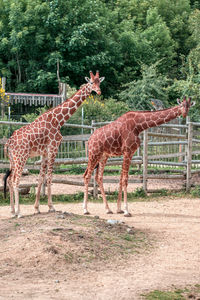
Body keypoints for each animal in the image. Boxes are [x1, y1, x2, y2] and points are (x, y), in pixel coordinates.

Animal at [4, 69, 104, 218]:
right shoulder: (53, 148)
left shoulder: (45, 153)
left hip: (13, 160)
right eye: (91, 82)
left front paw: (37, 208)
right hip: (21, 157)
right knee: (16, 181)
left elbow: (41, 178)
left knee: (10, 180)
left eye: (99, 82)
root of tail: (8, 143)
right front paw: (51, 207)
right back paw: (19, 212)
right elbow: (50, 177)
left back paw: (12, 211)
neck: (58, 121)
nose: (98, 91)